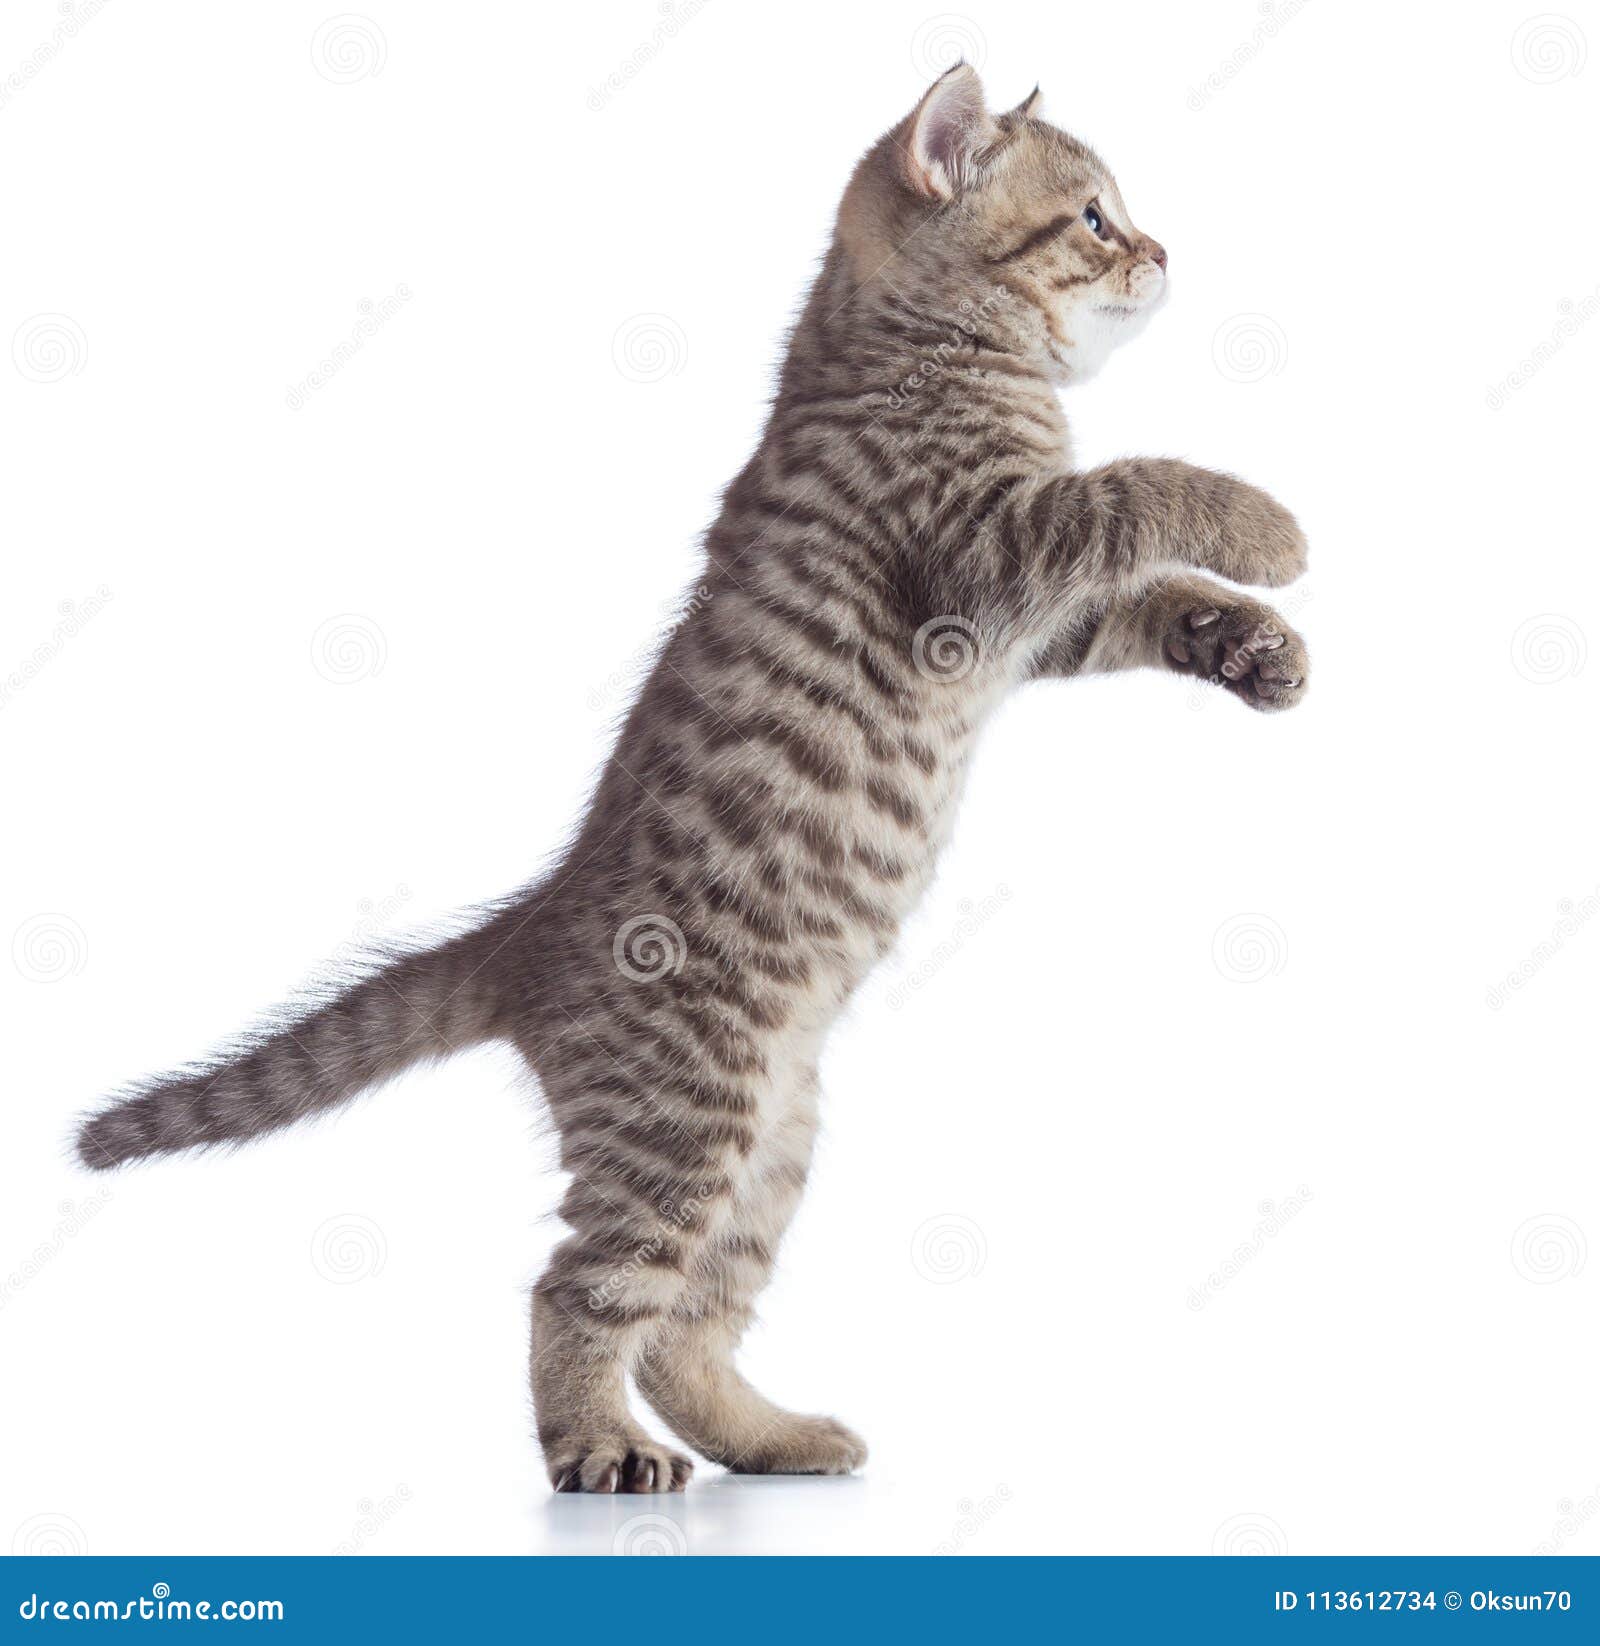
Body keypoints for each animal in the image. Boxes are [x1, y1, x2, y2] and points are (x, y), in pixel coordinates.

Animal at [74, 67, 1303, 1494]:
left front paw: (1254, 643)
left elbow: (1147, 592)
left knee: (684, 1327)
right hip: (688, 1113)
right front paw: (1267, 524)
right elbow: (1131, 489)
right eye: (1095, 217)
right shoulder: (977, 560)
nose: (1165, 250)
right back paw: (596, 1442)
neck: (902, 344)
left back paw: (770, 1436)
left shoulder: (1033, 623)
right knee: (576, 1289)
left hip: (773, 1139)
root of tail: (533, 927)